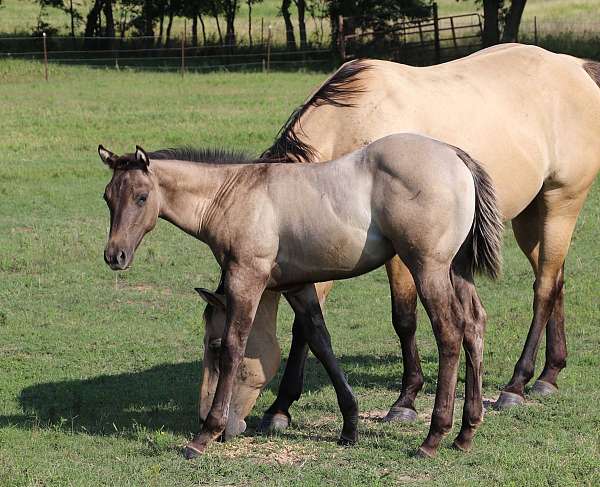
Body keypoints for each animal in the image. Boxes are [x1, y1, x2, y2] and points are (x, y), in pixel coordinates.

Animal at [98, 133, 502, 458]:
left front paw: (204, 435)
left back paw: (433, 438)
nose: (115, 255)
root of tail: (453, 155)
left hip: (427, 268)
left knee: (449, 333)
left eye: (141, 197)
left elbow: (237, 346)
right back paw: (465, 433)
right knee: (474, 325)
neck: (232, 195)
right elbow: (320, 341)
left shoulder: (247, 279)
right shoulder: (297, 286)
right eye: (107, 198)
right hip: (456, 270)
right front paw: (349, 427)